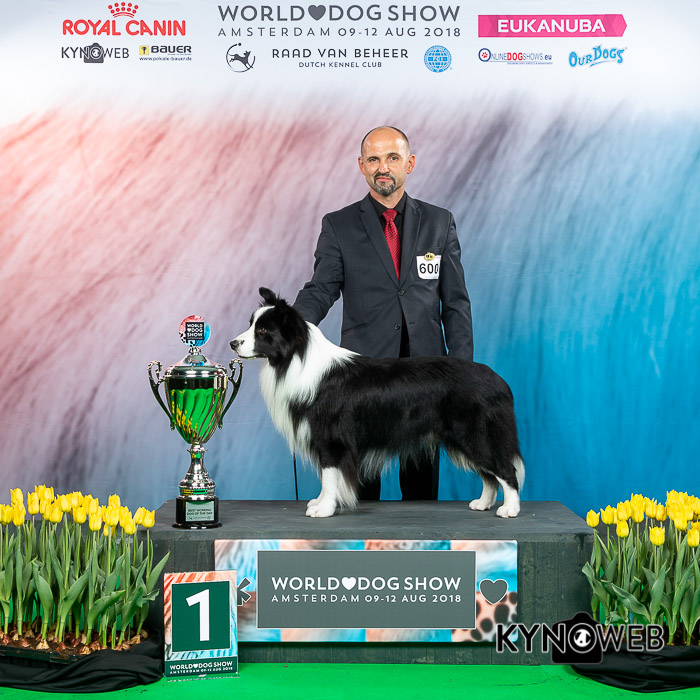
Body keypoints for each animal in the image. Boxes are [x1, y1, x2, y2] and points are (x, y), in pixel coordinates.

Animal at [231, 288, 524, 518]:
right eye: (251, 324)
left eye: (263, 330)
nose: (233, 343)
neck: (295, 358)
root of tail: (499, 381)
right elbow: (328, 476)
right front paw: (320, 503)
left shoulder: (331, 437)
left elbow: (329, 473)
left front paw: (323, 508)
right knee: (489, 474)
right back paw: (483, 504)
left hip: (475, 433)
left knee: (505, 469)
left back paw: (509, 509)